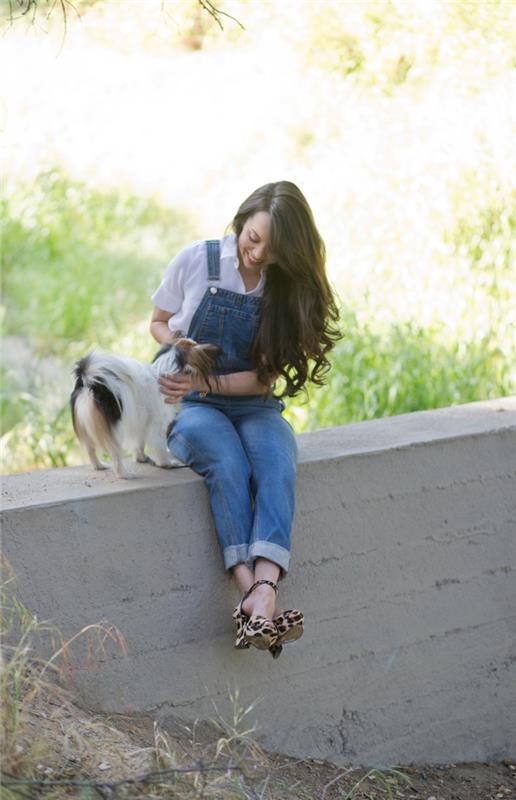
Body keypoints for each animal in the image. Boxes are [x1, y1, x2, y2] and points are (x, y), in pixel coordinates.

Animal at [70, 336, 220, 476]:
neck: (164, 371)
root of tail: (91, 384)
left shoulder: (141, 423)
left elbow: (139, 444)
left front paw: (141, 458)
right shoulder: (158, 425)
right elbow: (160, 447)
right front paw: (166, 463)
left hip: (88, 427)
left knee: (90, 449)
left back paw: (99, 466)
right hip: (115, 431)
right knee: (115, 455)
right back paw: (124, 474)